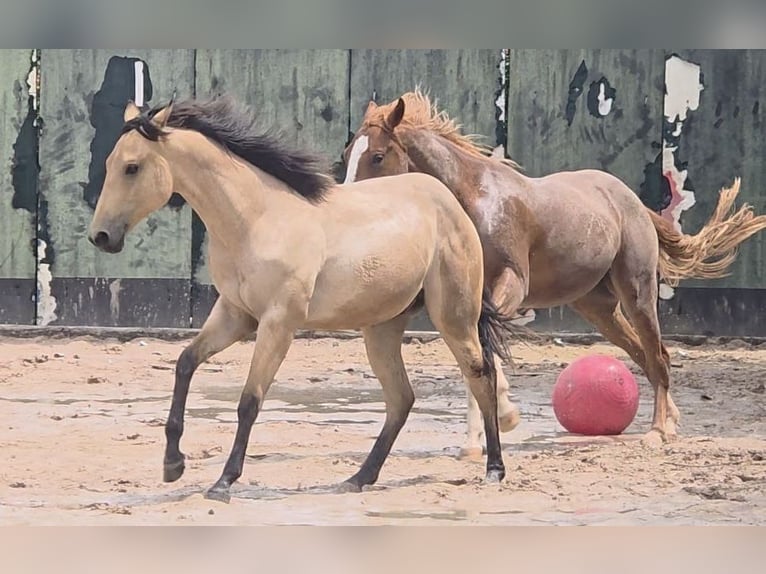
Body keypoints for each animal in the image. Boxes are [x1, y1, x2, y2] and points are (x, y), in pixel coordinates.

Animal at [87, 95, 519, 503]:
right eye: (110, 163)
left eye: (132, 167)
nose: (101, 237)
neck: (255, 220)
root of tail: (448, 201)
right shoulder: (234, 315)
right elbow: (185, 364)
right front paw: (172, 465)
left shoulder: (279, 322)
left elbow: (250, 400)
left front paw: (224, 482)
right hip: (381, 328)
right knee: (401, 398)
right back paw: (359, 478)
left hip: (454, 317)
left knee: (480, 375)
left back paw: (495, 469)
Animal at [343, 88, 766, 448]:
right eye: (348, 153)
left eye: (377, 156)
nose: (349, 202)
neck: (476, 199)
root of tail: (631, 200)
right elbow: (474, 355)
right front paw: (476, 442)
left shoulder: (511, 285)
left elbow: (483, 353)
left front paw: (504, 420)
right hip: (598, 309)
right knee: (645, 355)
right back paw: (672, 421)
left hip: (637, 292)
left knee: (658, 355)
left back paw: (658, 431)